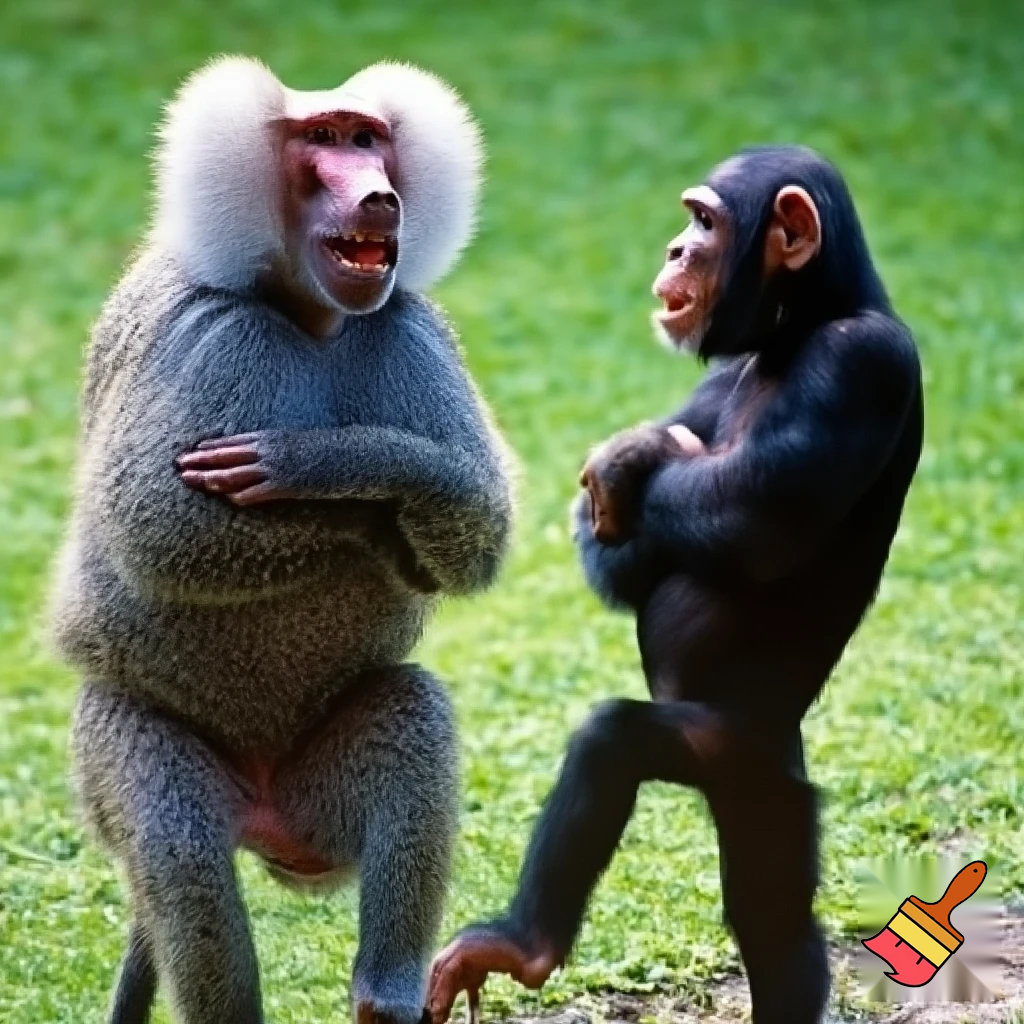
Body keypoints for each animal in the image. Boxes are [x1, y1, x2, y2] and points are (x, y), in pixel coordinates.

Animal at [49, 56, 514, 1024]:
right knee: (181, 854)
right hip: (120, 752)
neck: (301, 310)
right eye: (324, 141)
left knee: (410, 716)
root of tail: (269, 824)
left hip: (322, 799)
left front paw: (336, 462)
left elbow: (478, 524)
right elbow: (157, 526)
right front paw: (344, 496)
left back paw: (387, 992)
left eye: (369, 139)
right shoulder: (207, 333)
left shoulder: (411, 328)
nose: (380, 198)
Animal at [427, 146, 922, 1024]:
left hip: (717, 743)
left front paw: (632, 461)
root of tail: (769, 754)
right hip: (766, 795)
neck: (794, 332)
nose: (674, 248)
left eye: (704, 221)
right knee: (774, 917)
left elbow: (757, 511)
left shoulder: (861, 362)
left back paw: (524, 946)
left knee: (613, 745)